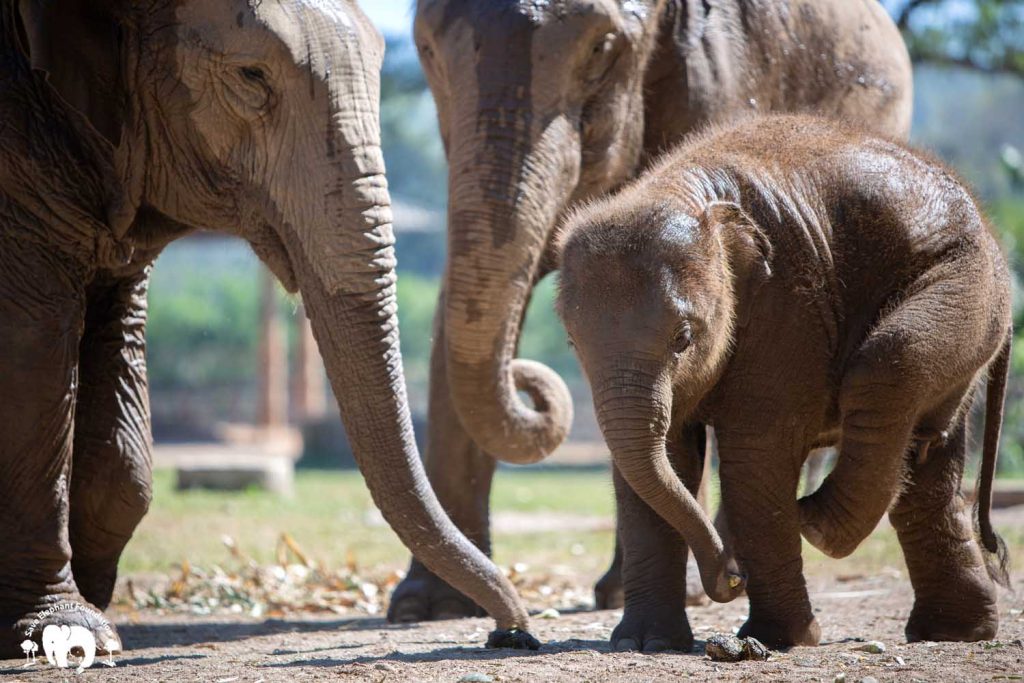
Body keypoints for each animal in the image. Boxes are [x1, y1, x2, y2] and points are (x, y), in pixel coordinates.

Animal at [2, 0, 536, 655]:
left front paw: (91, 606)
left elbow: (122, 424)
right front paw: (69, 630)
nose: (512, 634)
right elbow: (30, 354)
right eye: (250, 76)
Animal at [389, 0, 913, 622]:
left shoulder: (715, 80)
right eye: (426, 50)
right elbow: (458, 305)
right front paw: (430, 606)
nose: (526, 379)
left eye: (601, 47)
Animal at [557, 114, 1011, 651]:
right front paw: (646, 644)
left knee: (890, 363)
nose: (731, 579)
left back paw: (816, 522)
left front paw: (781, 639)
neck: (679, 186)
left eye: (683, 338)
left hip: (965, 282)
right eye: (571, 342)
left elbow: (757, 450)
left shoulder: (788, 305)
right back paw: (953, 632)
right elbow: (663, 455)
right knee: (929, 462)